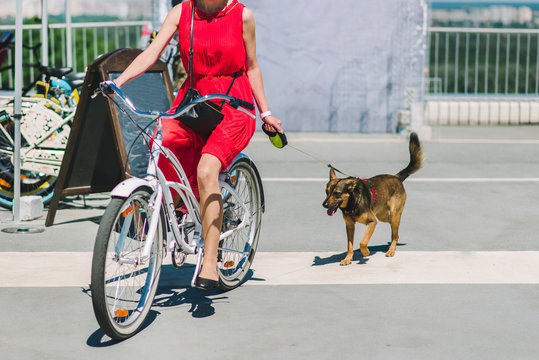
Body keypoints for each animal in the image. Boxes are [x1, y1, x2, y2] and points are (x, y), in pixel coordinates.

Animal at [322, 132, 424, 264]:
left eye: (337, 194)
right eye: (327, 192)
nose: (324, 205)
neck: (353, 202)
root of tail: (396, 177)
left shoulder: (372, 222)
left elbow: (363, 242)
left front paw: (365, 252)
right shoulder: (350, 226)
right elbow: (350, 246)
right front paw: (348, 259)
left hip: (392, 214)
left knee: (395, 234)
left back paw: (391, 250)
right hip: (383, 216)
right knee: (393, 229)